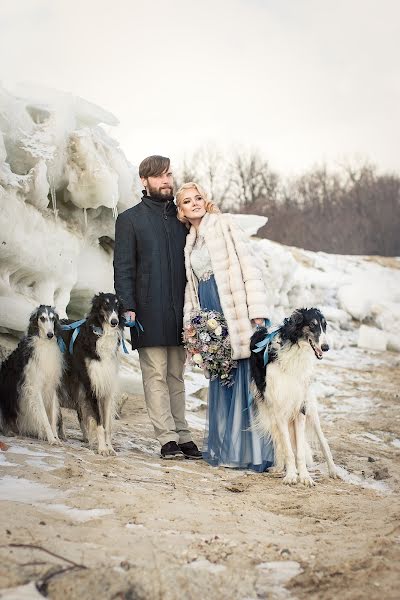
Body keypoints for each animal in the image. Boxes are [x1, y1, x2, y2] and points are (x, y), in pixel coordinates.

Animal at [0, 308, 63, 442]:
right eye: (42, 318)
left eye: (53, 318)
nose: (50, 335)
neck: (45, 345)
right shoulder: (34, 386)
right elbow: (44, 416)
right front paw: (51, 438)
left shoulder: (51, 385)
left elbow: (52, 417)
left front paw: (56, 438)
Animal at [59, 292, 123, 458]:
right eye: (105, 304)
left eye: (117, 304)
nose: (114, 322)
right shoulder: (92, 386)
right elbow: (99, 423)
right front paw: (102, 449)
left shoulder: (106, 390)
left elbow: (107, 425)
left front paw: (110, 448)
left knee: (80, 413)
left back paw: (86, 438)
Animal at [252, 308, 340, 486]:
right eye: (312, 325)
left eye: (324, 326)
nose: (326, 347)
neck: (295, 352)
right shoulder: (279, 409)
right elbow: (288, 449)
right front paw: (292, 475)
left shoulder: (300, 409)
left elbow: (299, 451)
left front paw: (305, 477)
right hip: (269, 410)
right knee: (279, 440)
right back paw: (279, 467)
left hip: (310, 407)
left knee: (323, 441)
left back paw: (333, 470)